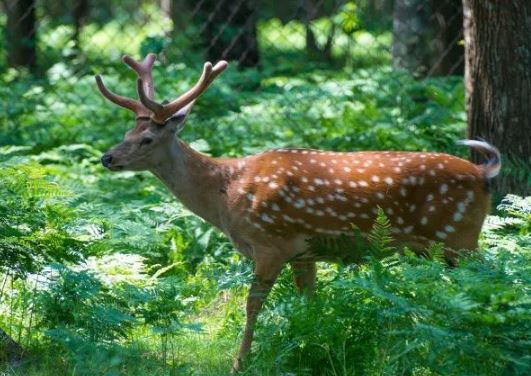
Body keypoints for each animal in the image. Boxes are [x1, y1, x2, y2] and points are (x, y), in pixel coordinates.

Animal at [96, 54, 502, 372]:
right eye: (126, 133)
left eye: (147, 140)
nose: (108, 157)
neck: (226, 195)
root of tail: (484, 173)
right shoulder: (304, 251)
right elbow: (309, 304)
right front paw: (316, 346)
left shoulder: (271, 242)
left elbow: (252, 305)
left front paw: (240, 362)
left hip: (458, 234)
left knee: (492, 278)